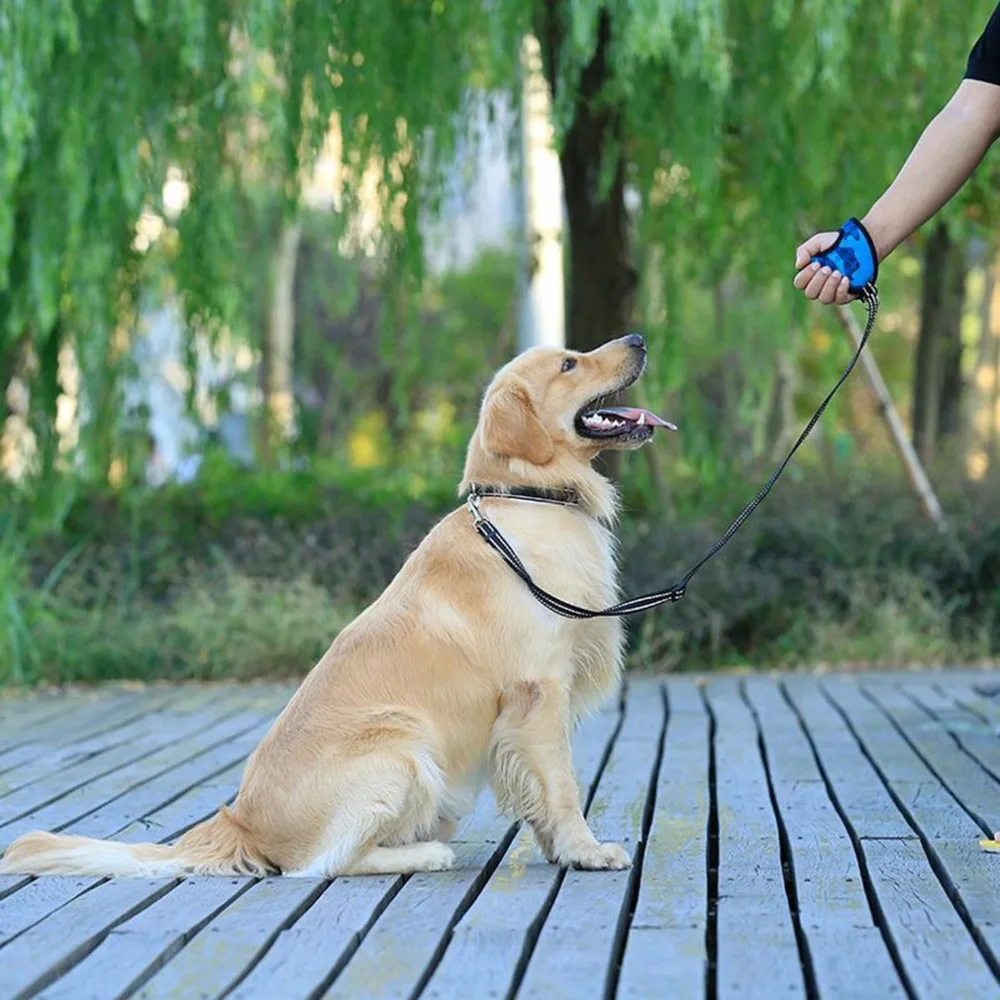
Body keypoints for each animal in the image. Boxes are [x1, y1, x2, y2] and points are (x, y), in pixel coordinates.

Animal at [1, 334, 672, 876]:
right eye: (569, 363)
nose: (639, 338)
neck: (529, 498)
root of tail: (240, 823)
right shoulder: (537, 691)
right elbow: (561, 786)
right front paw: (587, 851)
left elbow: (537, 790)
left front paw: (562, 851)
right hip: (403, 748)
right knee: (322, 865)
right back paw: (427, 854)